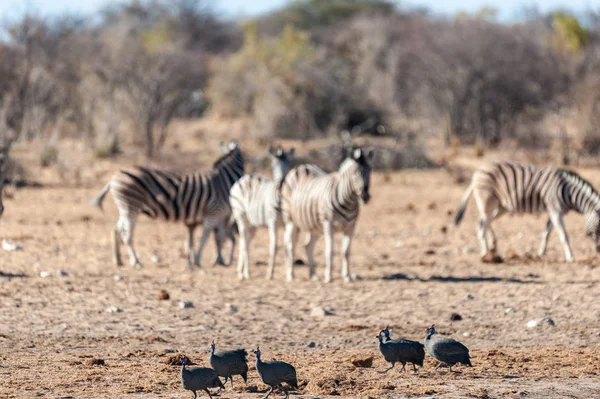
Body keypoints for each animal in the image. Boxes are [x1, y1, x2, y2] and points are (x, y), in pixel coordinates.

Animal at [89, 142, 244, 270]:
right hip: (130, 206)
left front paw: (215, 261)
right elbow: (206, 237)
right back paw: (136, 262)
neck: (222, 181)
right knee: (126, 234)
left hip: (125, 208)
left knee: (116, 230)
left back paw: (118, 260)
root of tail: (113, 178)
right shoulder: (214, 212)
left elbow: (210, 239)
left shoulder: (210, 217)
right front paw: (200, 260)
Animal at [230, 145, 296, 280]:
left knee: (246, 241)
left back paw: (240, 271)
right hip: (240, 216)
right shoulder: (273, 222)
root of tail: (244, 178)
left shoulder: (288, 223)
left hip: (253, 223)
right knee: (243, 240)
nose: (282, 181)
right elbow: (274, 246)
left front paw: (290, 274)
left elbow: (289, 246)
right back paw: (246, 273)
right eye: (273, 164)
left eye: (289, 162)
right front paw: (270, 274)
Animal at [278, 148, 372, 284]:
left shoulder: (351, 226)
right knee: (289, 245)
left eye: (370, 170)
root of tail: (301, 166)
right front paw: (329, 277)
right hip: (291, 220)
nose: (365, 197)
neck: (349, 201)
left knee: (308, 246)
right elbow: (330, 251)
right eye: (355, 173)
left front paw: (347, 276)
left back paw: (313, 275)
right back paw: (291, 275)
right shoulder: (328, 225)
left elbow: (346, 252)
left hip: (314, 226)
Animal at [454, 160, 600, 262]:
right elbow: (563, 234)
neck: (569, 192)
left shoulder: (553, 211)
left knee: (486, 222)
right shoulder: (555, 208)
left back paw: (493, 245)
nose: (598, 251)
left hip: (501, 206)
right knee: (481, 224)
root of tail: (477, 173)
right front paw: (570, 257)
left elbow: (547, 233)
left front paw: (540, 253)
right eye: (598, 228)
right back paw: (485, 253)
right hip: (487, 202)